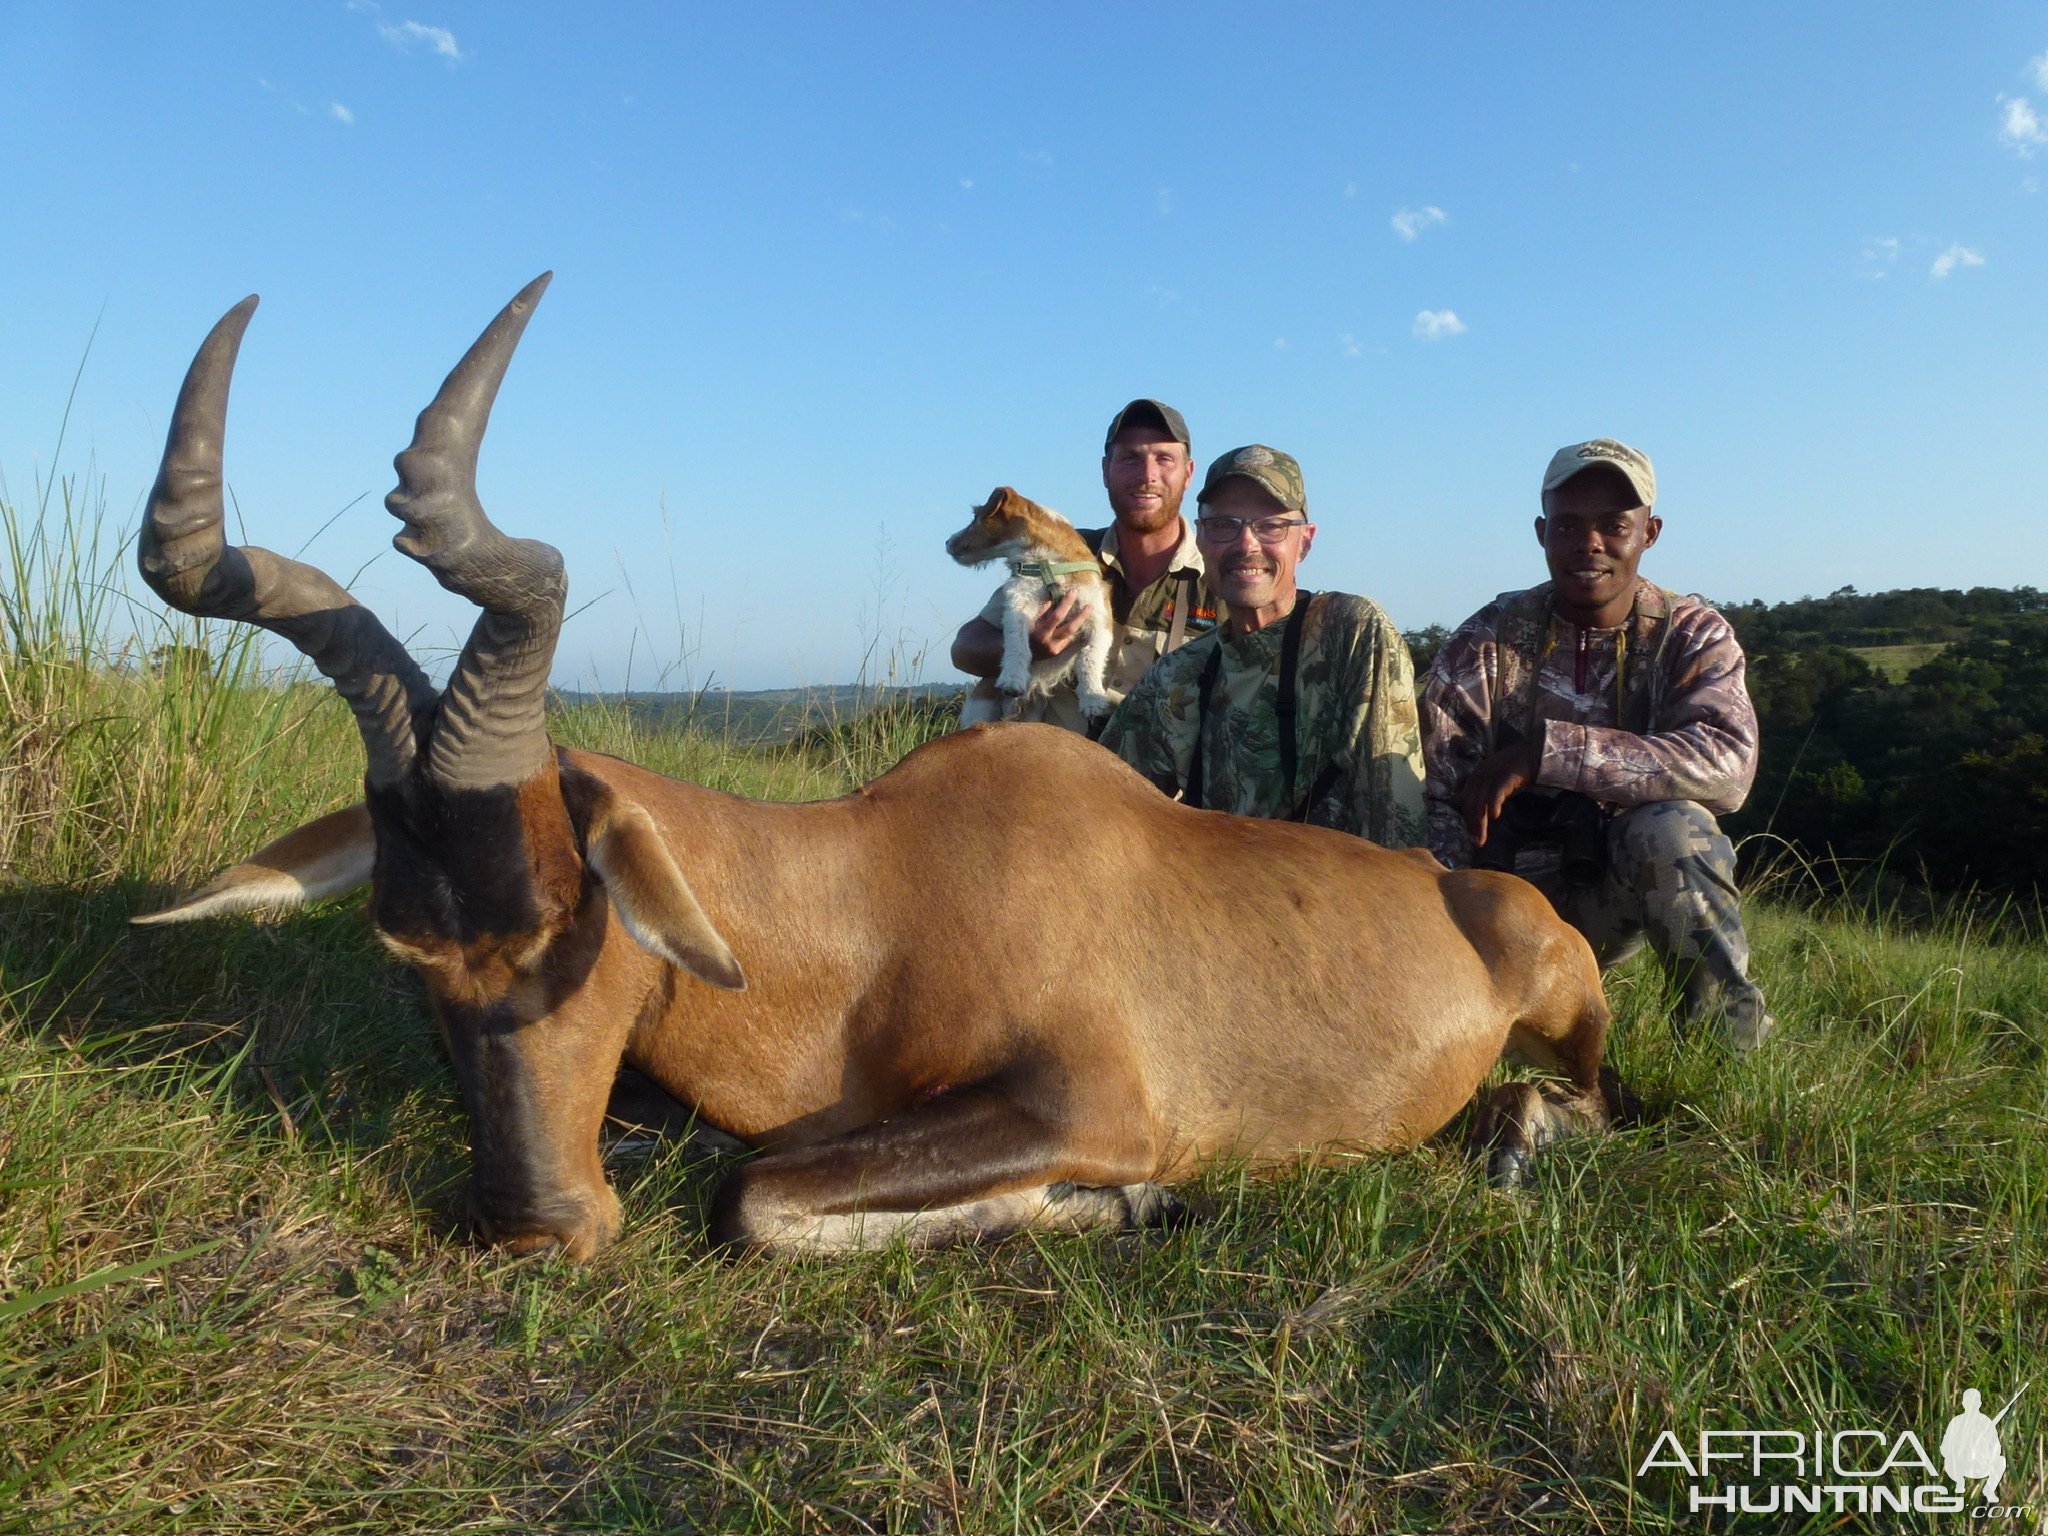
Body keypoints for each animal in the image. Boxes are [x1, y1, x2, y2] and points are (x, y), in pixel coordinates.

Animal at [946, 493, 1114, 733]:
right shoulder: (1019, 603)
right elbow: (1017, 643)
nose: (947, 542)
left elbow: (1089, 659)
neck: (1047, 564)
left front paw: (1093, 700)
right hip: (981, 705)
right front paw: (1012, 678)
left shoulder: (1099, 619)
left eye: (975, 517)